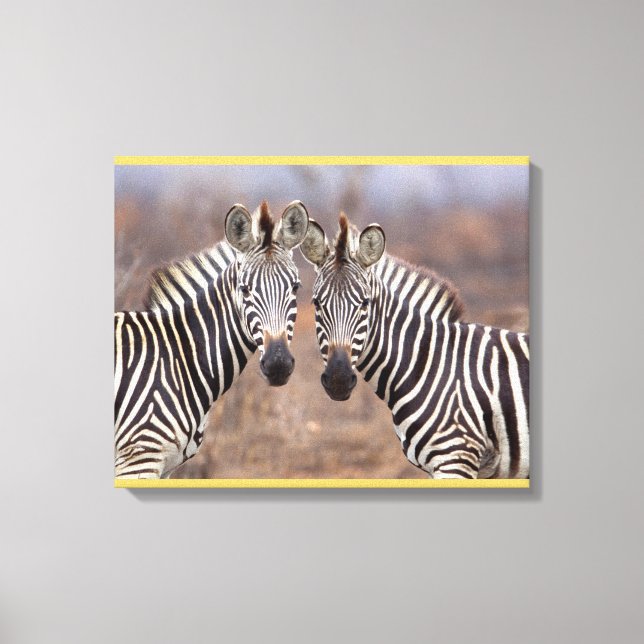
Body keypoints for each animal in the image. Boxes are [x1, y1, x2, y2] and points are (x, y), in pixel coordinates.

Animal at [114, 200, 309, 479]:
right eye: (245, 289)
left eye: (295, 287)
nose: (278, 364)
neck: (179, 360)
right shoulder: (139, 459)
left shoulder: (165, 467)